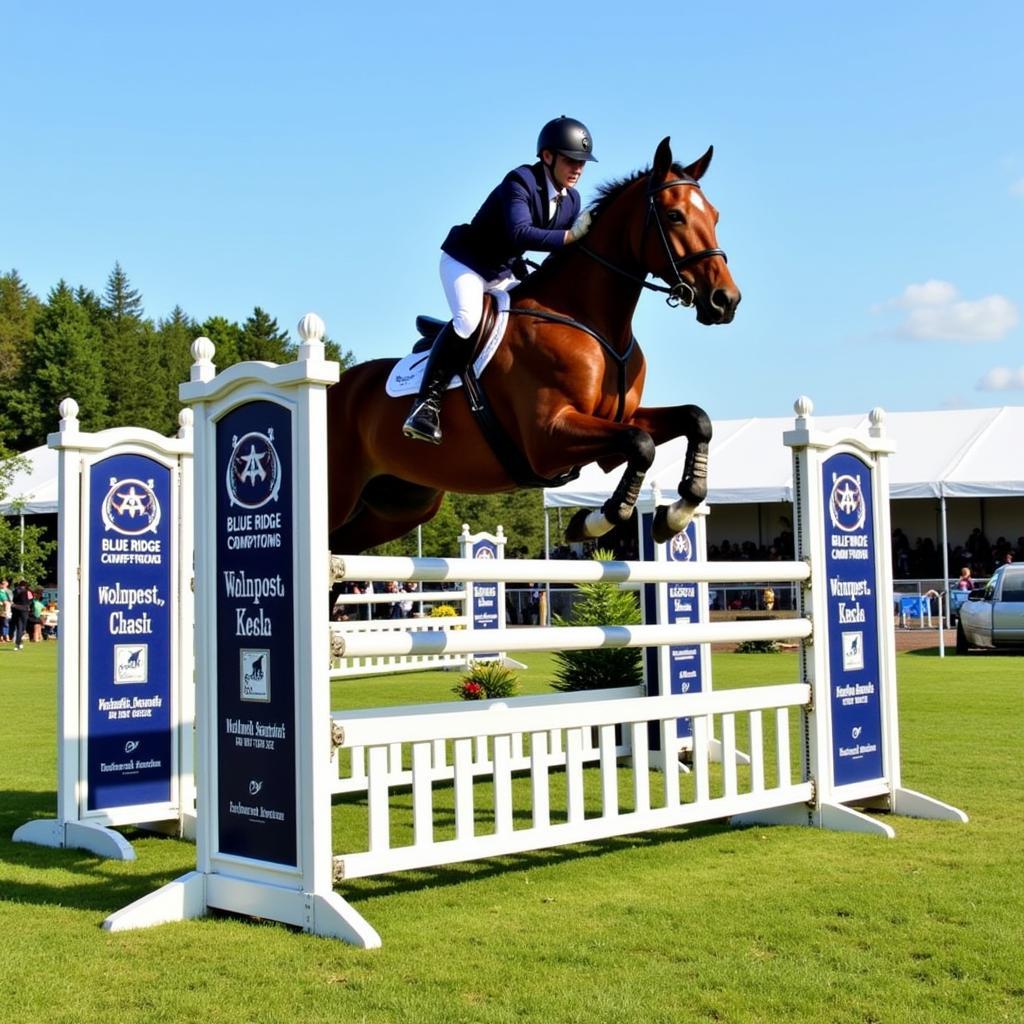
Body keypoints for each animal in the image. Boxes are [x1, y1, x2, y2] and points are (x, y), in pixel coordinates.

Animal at [327, 139, 737, 557]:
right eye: (674, 216)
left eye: (715, 216)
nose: (725, 301)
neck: (590, 319)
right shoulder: (548, 438)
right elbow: (641, 445)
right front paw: (593, 521)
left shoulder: (621, 416)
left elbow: (696, 420)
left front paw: (677, 514)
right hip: (339, 495)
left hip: (399, 505)